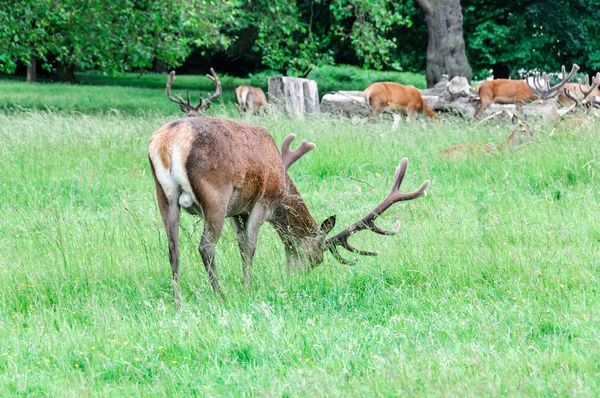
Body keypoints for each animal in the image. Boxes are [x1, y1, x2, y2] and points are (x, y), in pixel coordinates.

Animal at [150, 69, 432, 304]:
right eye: (317, 256)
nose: (300, 276)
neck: (282, 189)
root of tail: (168, 140)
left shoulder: (237, 211)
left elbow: (242, 246)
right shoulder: (262, 202)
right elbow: (250, 247)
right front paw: (247, 289)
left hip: (164, 194)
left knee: (173, 247)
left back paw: (177, 301)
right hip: (215, 195)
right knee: (206, 246)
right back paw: (221, 296)